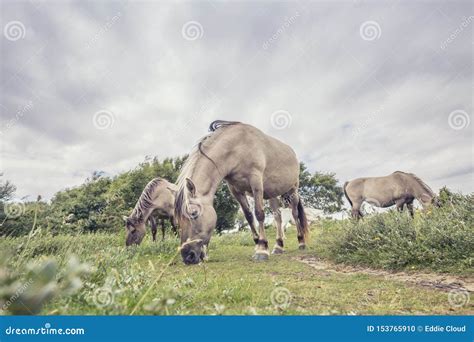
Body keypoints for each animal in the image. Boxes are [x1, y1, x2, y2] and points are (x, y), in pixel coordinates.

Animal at [174, 120, 308, 264]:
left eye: (193, 213)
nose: (187, 256)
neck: (237, 148)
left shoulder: (256, 182)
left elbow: (259, 214)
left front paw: (262, 249)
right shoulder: (236, 190)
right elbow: (249, 216)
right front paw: (258, 243)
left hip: (293, 190)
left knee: (294, 213)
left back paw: (301, 242)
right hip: (272, 194)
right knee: (278, 217)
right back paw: (278, 246)